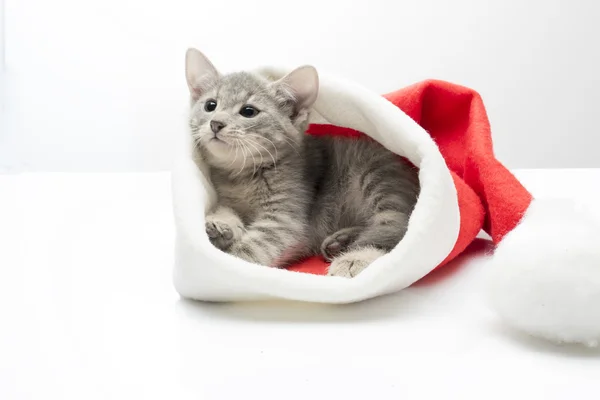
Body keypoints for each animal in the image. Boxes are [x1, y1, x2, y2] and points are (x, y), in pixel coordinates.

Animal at [185, 48, 420, 276]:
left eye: (248, 111)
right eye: (210, 105)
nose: (216, 123)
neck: (243, 176)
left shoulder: (286, 221)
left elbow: (253, 249)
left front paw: (224, 265)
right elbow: (227, 209)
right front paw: (220, 222)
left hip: (377, 177)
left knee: (395, 227)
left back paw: (355, 257)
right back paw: (340, 241)